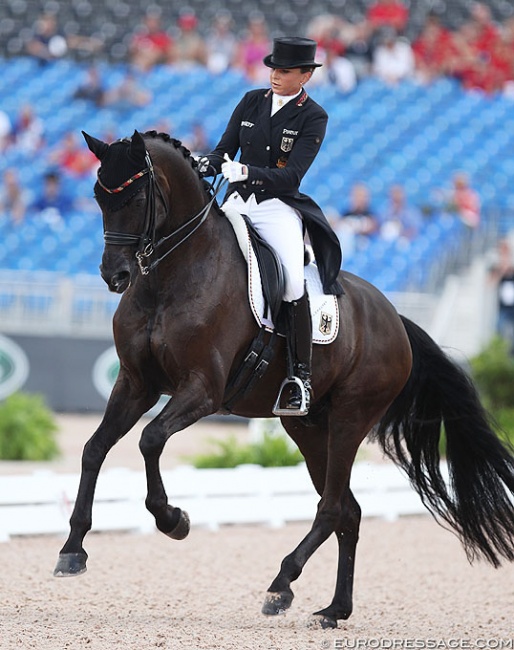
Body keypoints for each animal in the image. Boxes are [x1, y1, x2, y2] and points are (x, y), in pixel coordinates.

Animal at [53, 129, 512, 624]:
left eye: (138, 197)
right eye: (98, 195)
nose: (114, 275)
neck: (172, 276)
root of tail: (394, 318)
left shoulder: (203, 389)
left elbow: (150, 439)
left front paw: (174, 520)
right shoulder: (136, 384)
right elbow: (95, 448)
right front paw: (72, 549)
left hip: (351, 417)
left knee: (331, 507)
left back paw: (281, 585)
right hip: (308, 427)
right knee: (348, 510)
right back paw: (334, 608)